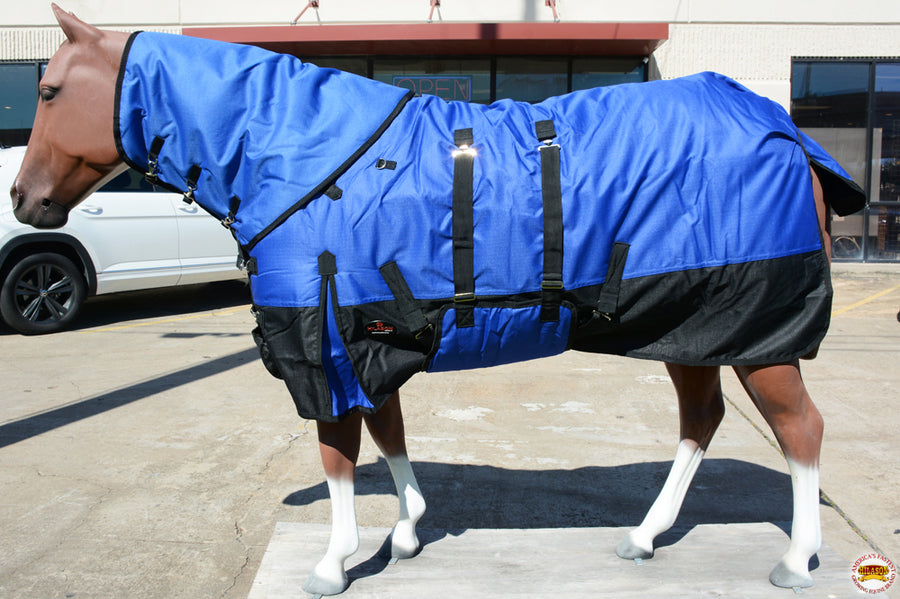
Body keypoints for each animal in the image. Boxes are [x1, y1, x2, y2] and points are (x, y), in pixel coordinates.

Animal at [12, 5, 865, 596]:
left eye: (49, 88)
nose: (24, 199)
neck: (300, 152)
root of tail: (787, 130)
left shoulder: (325, 346)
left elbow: (339, 455)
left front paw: (333, 561)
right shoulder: (369, 337)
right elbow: (388, 435)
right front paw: (409, 533)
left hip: (759, 333)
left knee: (801, 428)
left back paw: (796, 557)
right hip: (693, 326)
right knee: (703, 419)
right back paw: (646, 536)